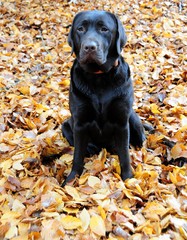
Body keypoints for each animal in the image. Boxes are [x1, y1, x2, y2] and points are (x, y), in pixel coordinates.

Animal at [62, 9, 145, 186]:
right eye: (80, 29)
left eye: (104, 29)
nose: (89, 47)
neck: (99, 78)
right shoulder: (79, 123)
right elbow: (77, 156)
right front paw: (71, 180)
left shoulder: (122, 123)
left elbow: (125, 156)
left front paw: (128, 180)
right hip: (65, 125)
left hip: (133, 119)